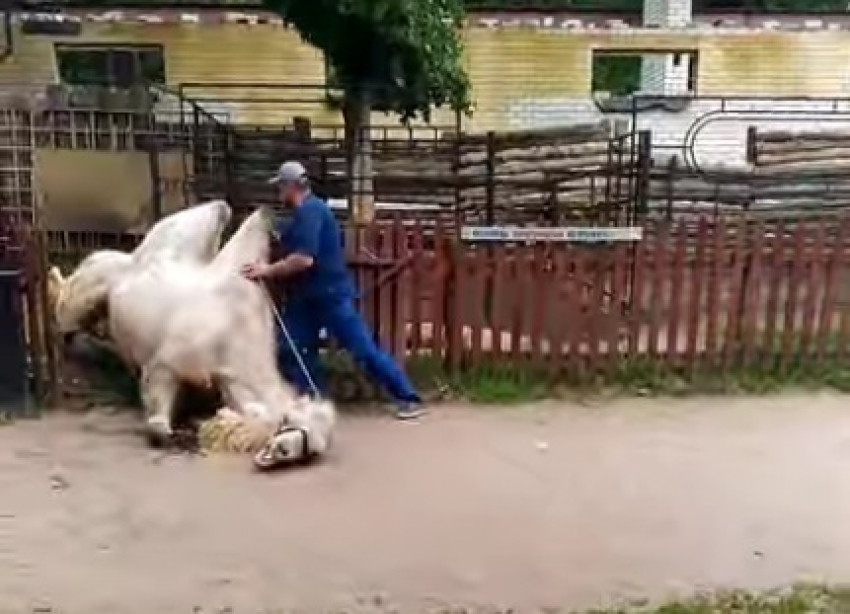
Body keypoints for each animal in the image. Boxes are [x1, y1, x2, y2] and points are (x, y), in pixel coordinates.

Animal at [50, 202, 338, 466]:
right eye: (290, 441)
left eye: (308, 452)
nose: (269, 459)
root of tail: (136, 257)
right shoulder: (165, 364)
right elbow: (158, 416)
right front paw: (167, 433)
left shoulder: (229, 378)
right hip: (100, 278)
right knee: (71, 299)